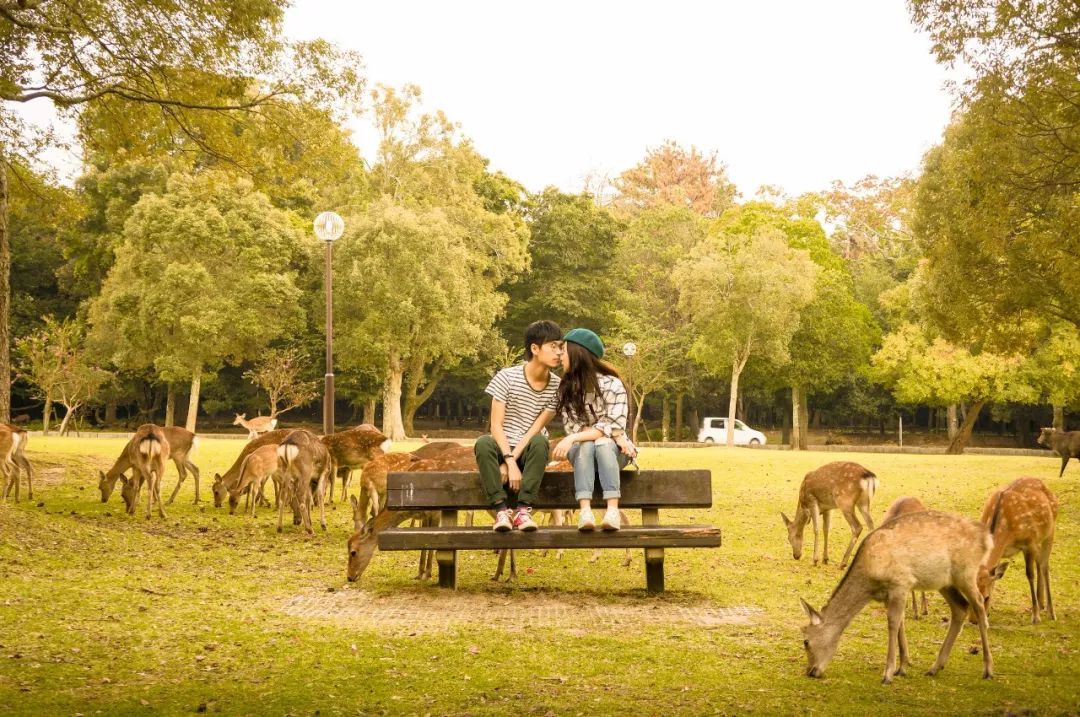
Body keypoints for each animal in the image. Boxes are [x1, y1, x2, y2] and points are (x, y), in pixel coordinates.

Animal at [799, 509, 989, 682]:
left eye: (805, 641)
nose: (810, 671)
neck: (870, 580)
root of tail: (986, 538)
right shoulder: (887, 595)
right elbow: (900, 624)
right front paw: (902, 667)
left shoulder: (900, 582)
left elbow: (892, 623)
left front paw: (888, 673)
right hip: (945, 582)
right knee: (960, 607)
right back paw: (935, 667)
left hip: (966, 572)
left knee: (979, 604)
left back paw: (988, 669)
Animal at [976, 479, 1058, 626]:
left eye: (986, 597)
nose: (973, 621)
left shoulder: (1029, 543)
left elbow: (1030, 575)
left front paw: (1036, 617)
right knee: (1040, 564)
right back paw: (1041, 603)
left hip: (1049, 532)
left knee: (1044, 566)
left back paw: (1051, 612)